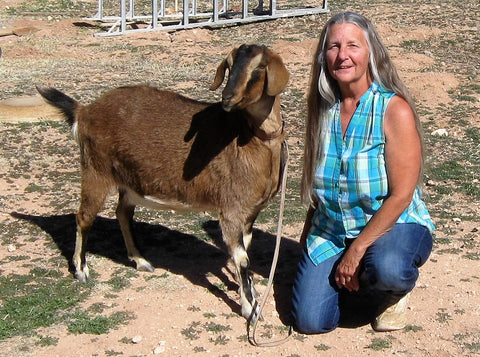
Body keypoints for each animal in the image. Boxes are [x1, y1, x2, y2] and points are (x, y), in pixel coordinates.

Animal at [37, 43, 288, 318]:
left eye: (260, 67)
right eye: (230, 65)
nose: (227, 98)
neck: (250, 138)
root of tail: (84, 111)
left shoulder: (251, 212)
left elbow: (246, 250)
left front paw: (248, 294)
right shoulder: (231, 209)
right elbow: (242, 258)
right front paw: (250, 309)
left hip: (128, 181)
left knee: (122, 212)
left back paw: (140, 260)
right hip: (95, 170)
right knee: (84, 217)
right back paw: (82, 270)